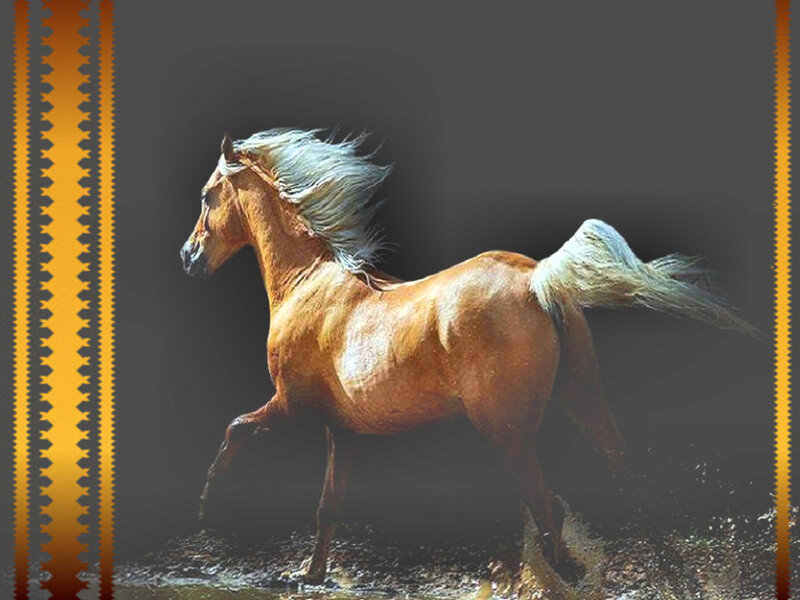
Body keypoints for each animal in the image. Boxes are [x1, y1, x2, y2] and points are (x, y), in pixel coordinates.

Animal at [180, 129, 755, 584]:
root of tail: (537, 278)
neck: (309, 282)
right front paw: (310, 574)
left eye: (208, 196)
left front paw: (207, 510)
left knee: (549, 509)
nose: (189, 257)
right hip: (585, 401)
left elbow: (235, 428)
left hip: (508, 431)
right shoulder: (339, 431)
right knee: (631, 489)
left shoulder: (291, 405)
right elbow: (327, 506)